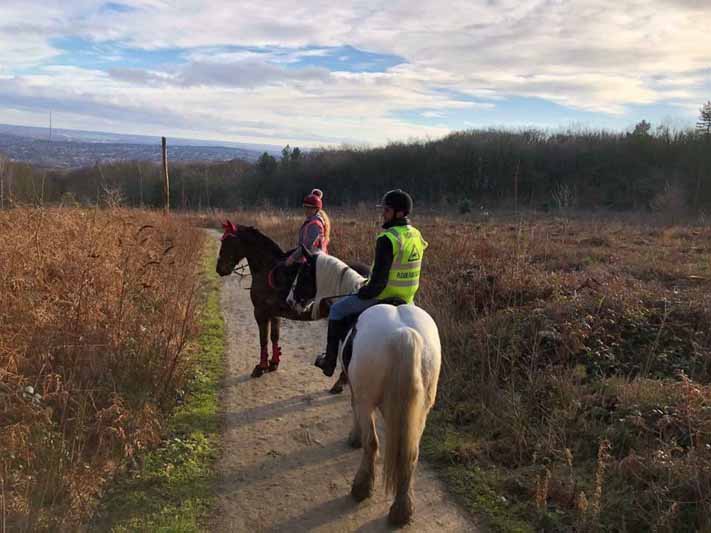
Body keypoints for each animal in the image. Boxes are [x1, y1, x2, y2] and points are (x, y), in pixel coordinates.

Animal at [215, 220, 369, 389]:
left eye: (227, 241)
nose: (219, 268)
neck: (267, 268)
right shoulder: (274, 314)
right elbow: (274, 337)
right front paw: (273, 363)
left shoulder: (260, 312)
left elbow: (263, 339)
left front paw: (261, 367)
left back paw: (339, 383)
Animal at [288, 250, 442, 527]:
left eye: (303, 273)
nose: (291, 300)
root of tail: (404, 334)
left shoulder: (356, 390)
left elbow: (351, 404)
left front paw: (354, 437)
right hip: (422, 408)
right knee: (411, 453)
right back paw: (402, 510)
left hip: (368, 400)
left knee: (373, 444)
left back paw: (361, 488)